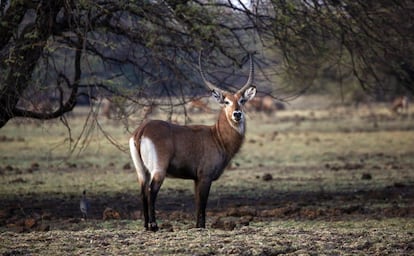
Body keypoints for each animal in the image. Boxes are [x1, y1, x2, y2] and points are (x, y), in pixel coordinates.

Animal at [129, 53, 258, 231]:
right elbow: (202, 205)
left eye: (242, 101)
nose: (237, 114)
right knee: (151, 191)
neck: (217, 136)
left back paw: (147, 226)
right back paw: (154, 226)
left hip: (142, 171)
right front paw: (202, 227)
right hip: (158, 170)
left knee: (142, 191)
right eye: (226, 101)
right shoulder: (205, 177)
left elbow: (197, 205)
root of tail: (142, 130)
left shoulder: (196, 179)